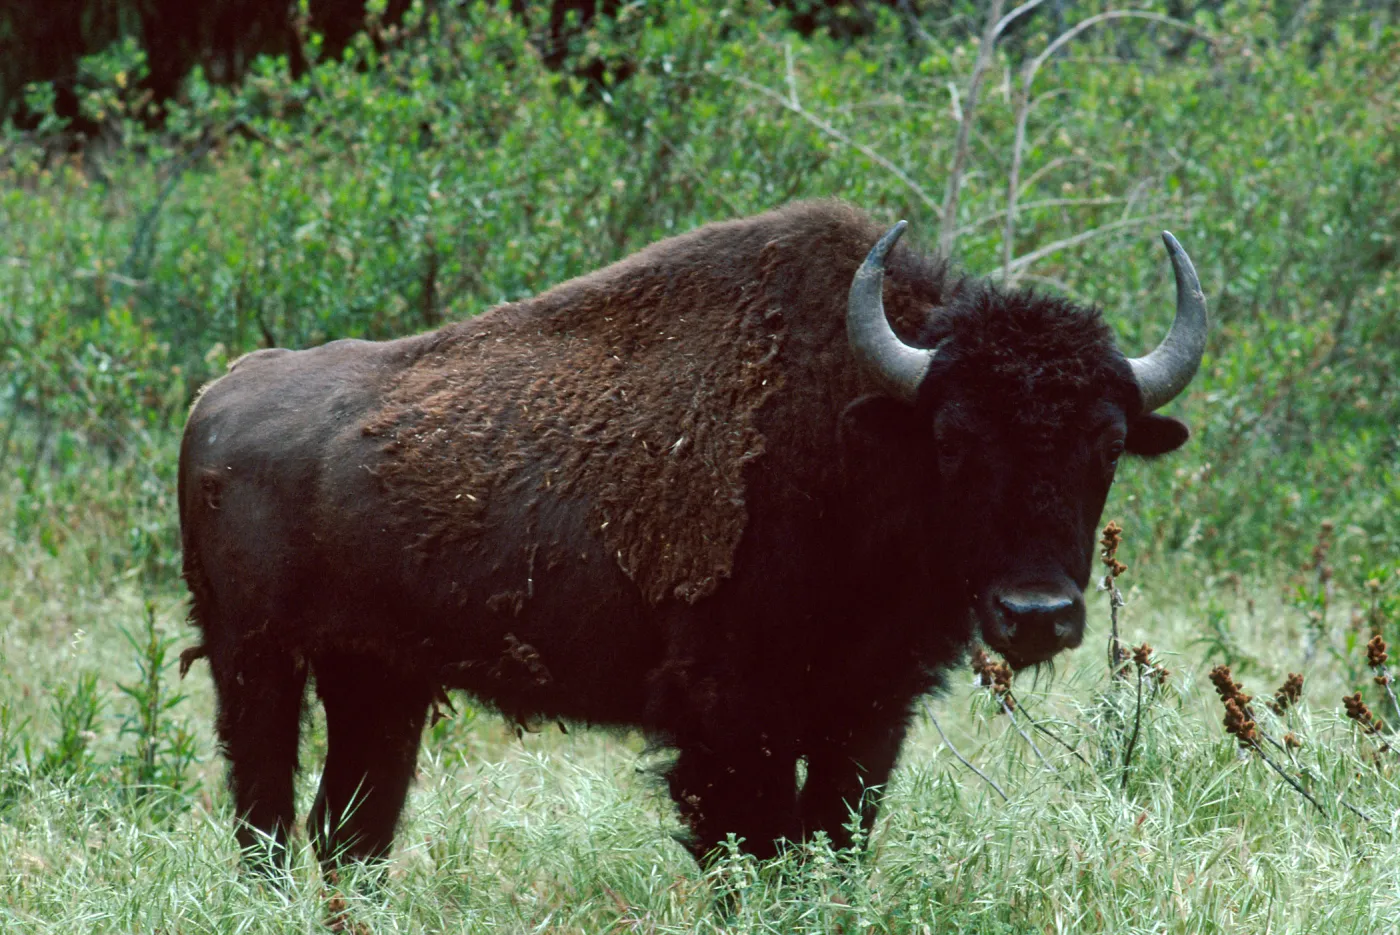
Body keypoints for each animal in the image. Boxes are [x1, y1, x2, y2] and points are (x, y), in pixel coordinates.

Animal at [178, 200, 1207, 870]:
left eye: (1106, 442)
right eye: (954, 437)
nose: (1038, 613)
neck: (855, 430)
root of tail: (219, 397)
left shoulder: (869, 711)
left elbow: (830, 841)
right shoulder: (729, 721)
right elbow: (753, 850)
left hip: (379, 682)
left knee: (348, 833)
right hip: (256, 666)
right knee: (266, 820)